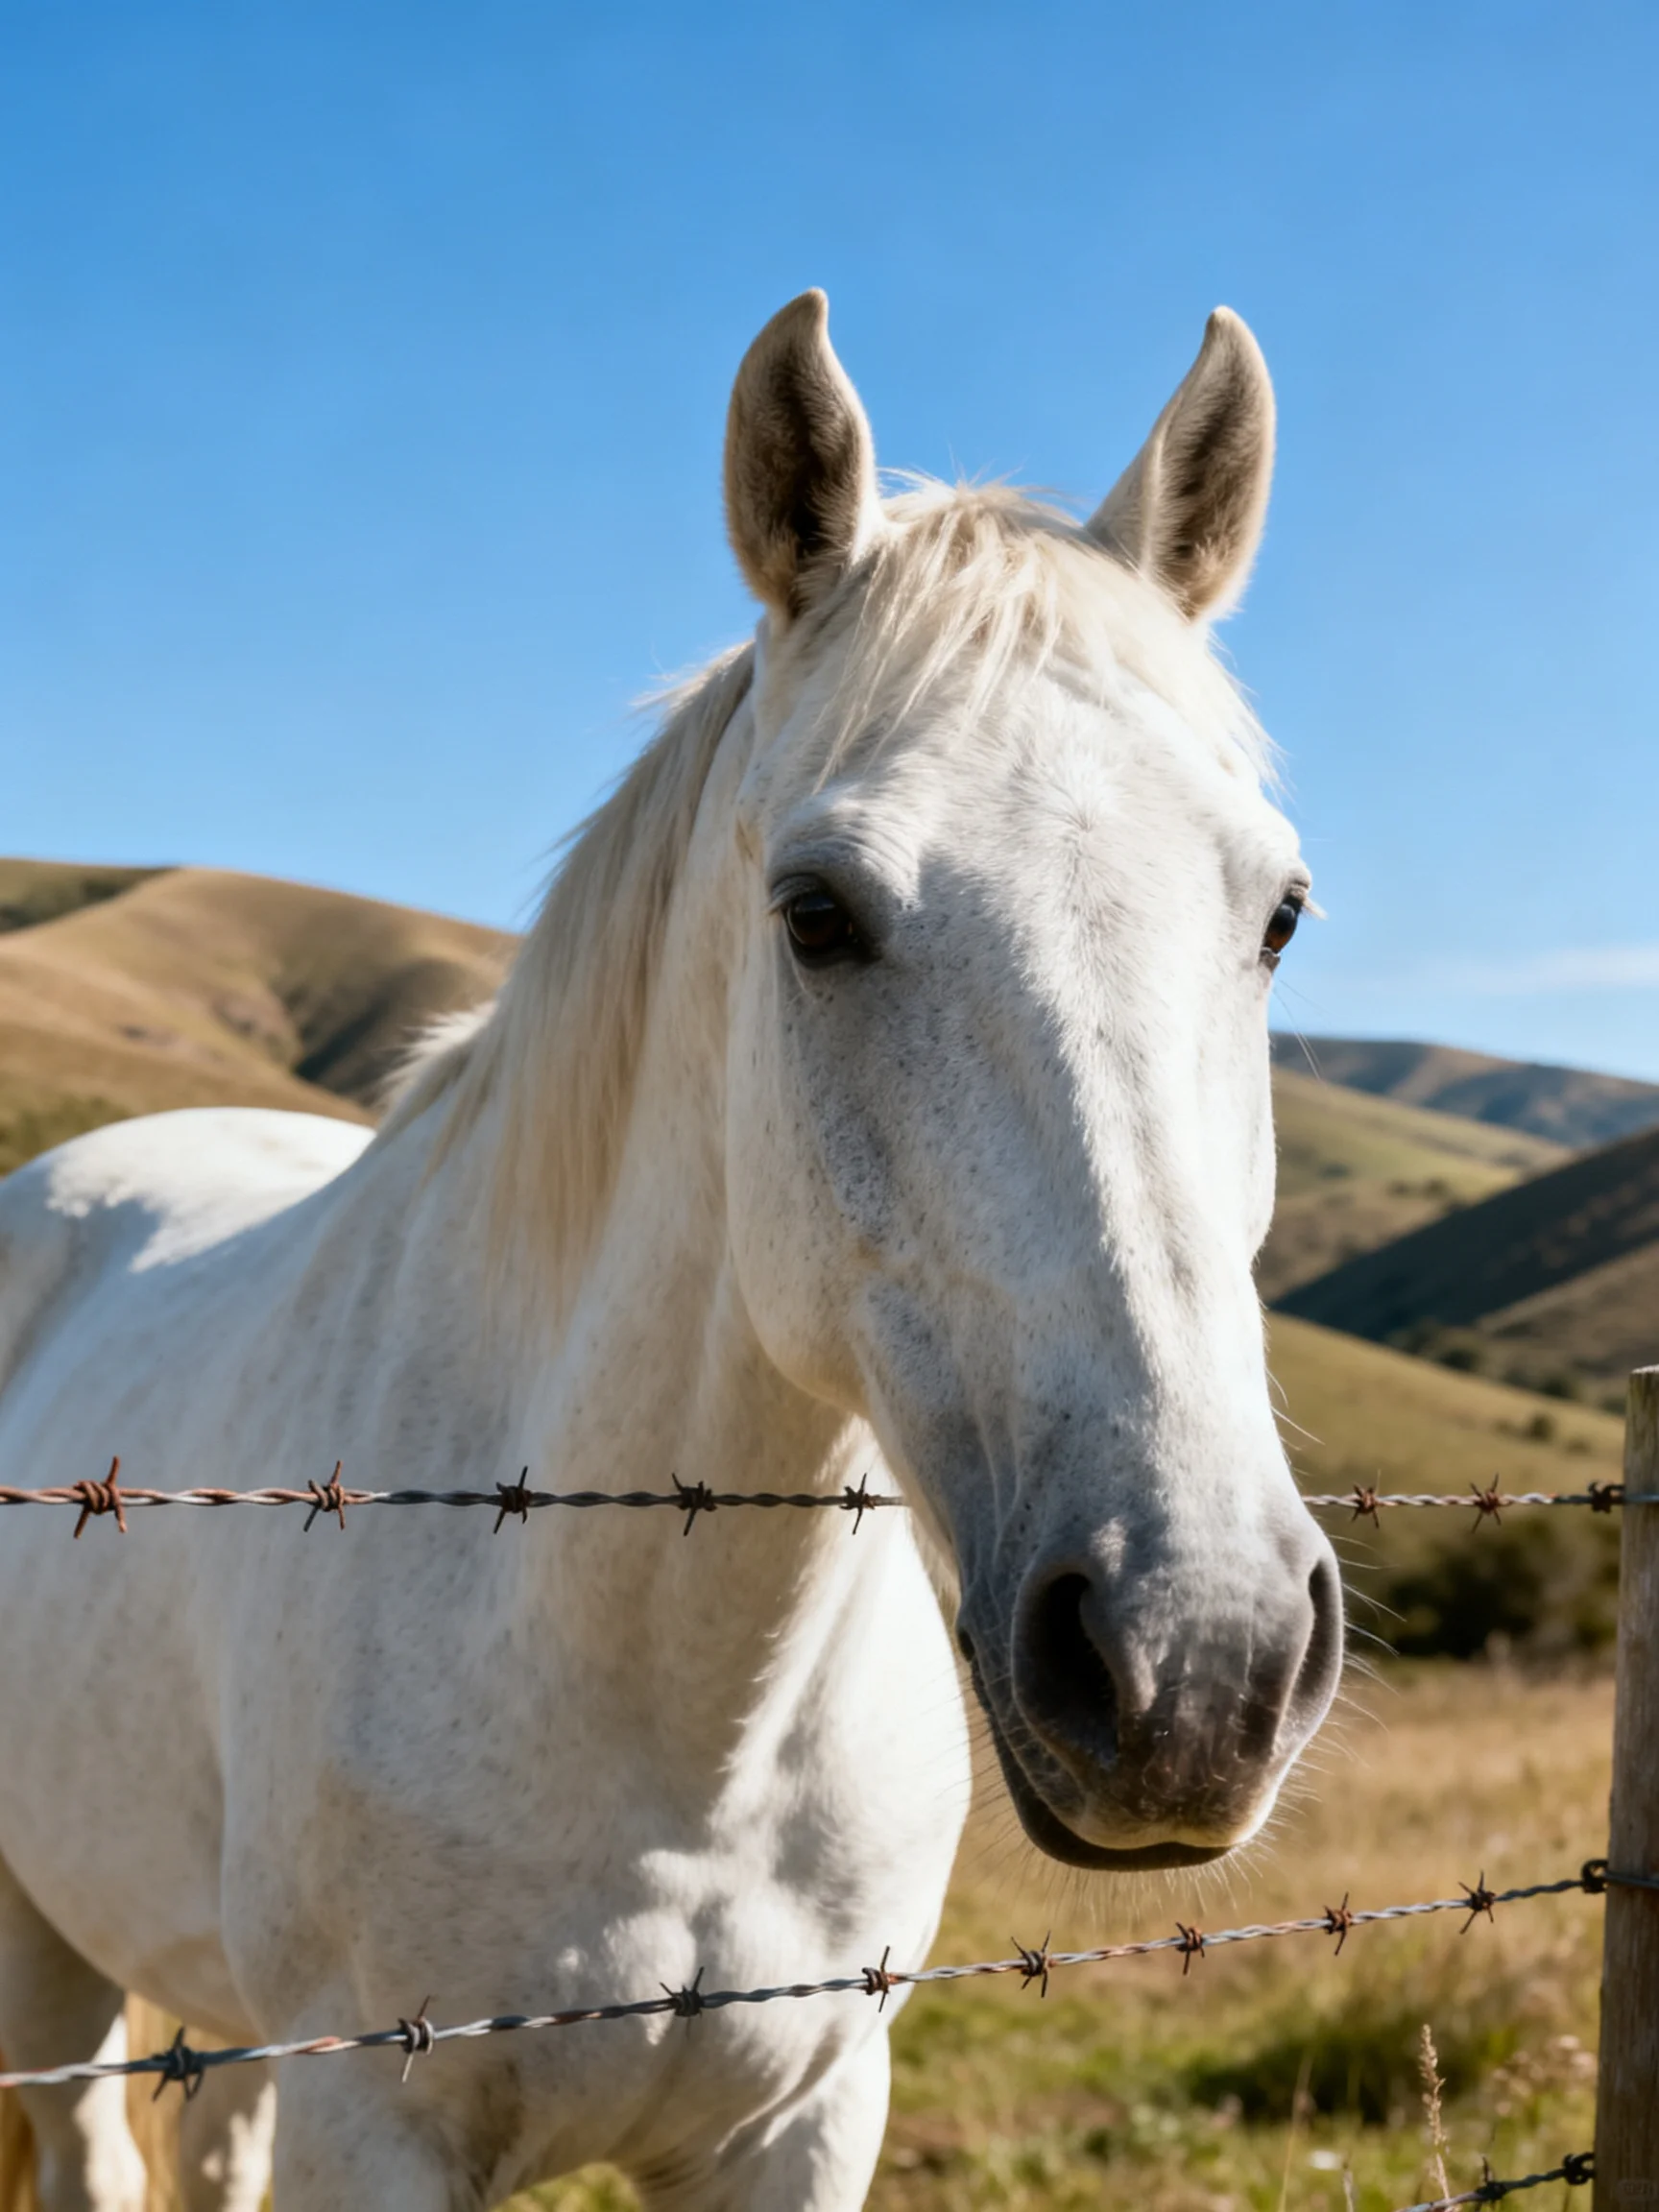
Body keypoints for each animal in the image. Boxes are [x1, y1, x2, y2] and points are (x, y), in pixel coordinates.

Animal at [0, 290, 1342, 2210]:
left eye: (1277, 914)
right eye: (816, 915)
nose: (1198, 1659)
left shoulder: (804, 2116)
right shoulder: (373, 2122)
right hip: (50, 1953)